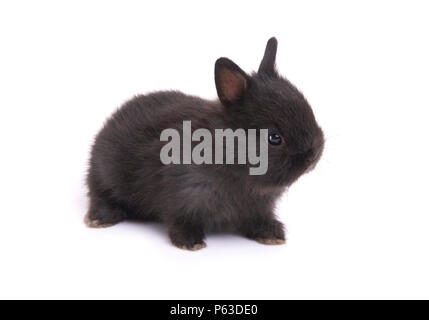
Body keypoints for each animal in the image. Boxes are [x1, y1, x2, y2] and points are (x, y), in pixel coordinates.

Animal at [85, 37, 322, 251]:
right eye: (274, 138)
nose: (312, 157)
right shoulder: (183, 195)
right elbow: (180, 219)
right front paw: (190, 242)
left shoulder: (258, 207)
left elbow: (258, 220)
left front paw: (272, 235)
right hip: (105, 176)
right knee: (99, 194)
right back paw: (99, 219)